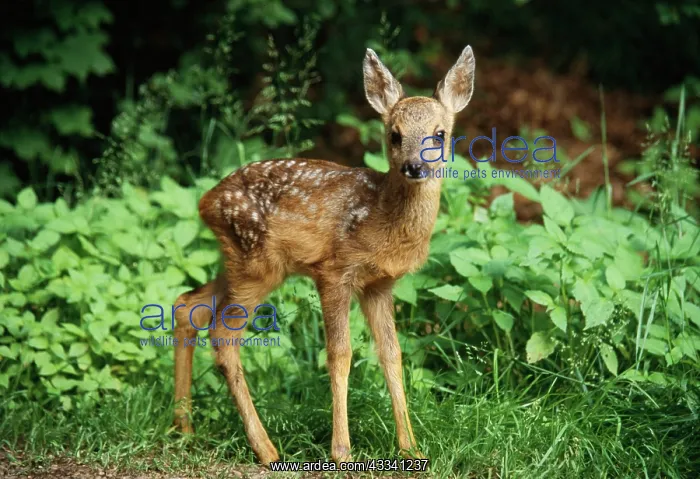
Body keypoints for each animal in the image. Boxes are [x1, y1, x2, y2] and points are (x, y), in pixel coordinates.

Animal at [172, 45, 476, 466]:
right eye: (395, 135)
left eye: (440, 134)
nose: (414, 166)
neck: (381, 216)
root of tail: (205, 202)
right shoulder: (334, 271)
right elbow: (340, 354)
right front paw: (342, 451)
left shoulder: (379, 285)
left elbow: (392, 355)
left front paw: (410, 447)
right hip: (257, 265)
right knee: (222, 335)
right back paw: (266, 449)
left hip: (237, 263)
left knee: (188, 306)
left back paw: (183, 428)